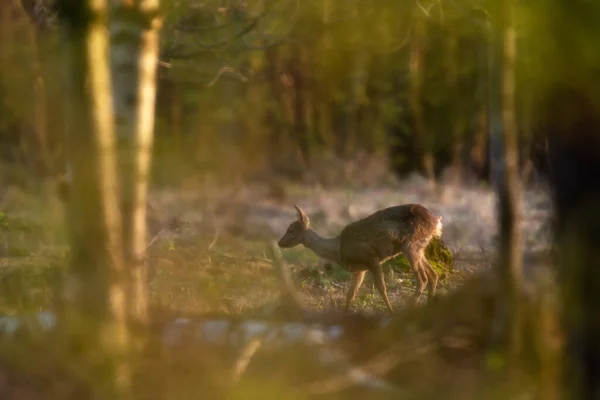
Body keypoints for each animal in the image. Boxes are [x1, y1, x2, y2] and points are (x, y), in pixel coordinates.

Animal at [276, 205, 440, 314]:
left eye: (290, 230)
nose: (280, 243)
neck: (337, 249)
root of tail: (436, 220)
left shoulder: (372, 259)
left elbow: (381, 287)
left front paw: (391, 311)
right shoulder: (359, 270)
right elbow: (350, 294)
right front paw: (345, 314)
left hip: (410, 245)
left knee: (423, 279)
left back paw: (411, 307)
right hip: (420, 247)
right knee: (433, 274)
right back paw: (428, 306)